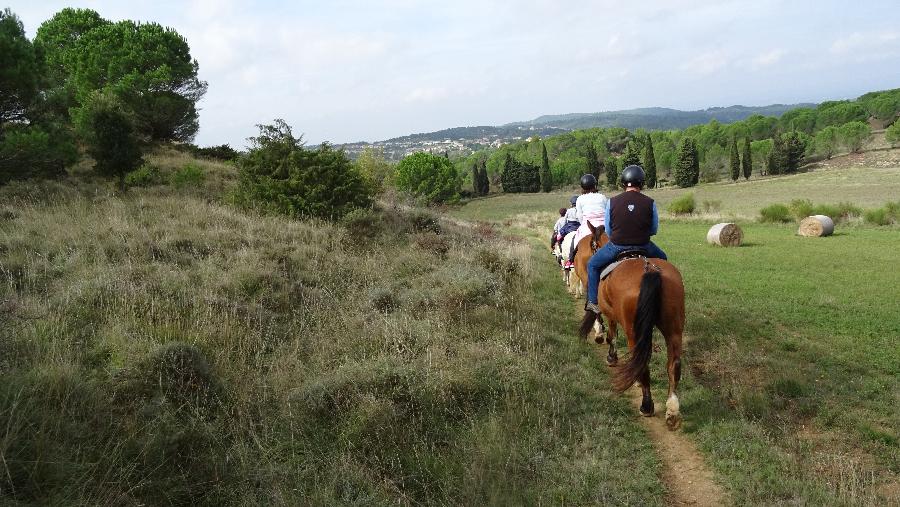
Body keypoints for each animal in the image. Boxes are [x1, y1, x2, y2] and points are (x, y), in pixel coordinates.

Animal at [580, 222, 684, 428]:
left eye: (593, 243)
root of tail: (649, 269)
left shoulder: (611, 314)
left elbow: (612, 336)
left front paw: (611, 358)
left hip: (633, 330)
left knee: (642, 361)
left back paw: (646, 406)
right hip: (674, 329)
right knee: (674, 364)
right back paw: (672, 411)